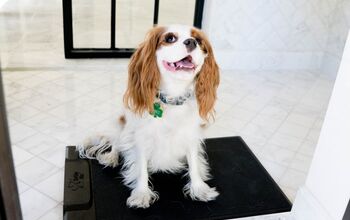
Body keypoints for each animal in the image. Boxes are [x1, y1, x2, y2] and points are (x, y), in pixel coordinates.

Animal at [78, 24, 219, 209]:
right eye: (170, 38)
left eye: (199, 40)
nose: (191, 42)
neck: (173, 98)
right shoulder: (140, 137)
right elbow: (141, 169)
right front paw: (142, 194)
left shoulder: (190, 135)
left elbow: (194, 163)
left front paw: (199, 189)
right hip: (122, 124)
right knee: (116, 143)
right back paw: (111, 157)